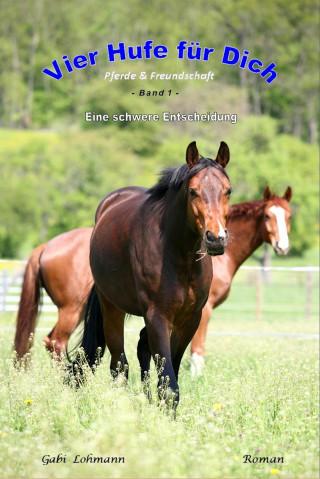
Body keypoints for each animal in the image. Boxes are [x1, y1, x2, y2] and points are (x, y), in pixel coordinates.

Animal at [70, 141, 231, 404]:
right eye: (193, 191)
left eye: (228, 190)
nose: (216, 238)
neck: (178, 254)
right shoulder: (158, 316)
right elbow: (168, 384)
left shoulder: (189, 319)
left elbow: (169, 376)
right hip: (111, 307)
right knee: (119, 365)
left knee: (140, 349)